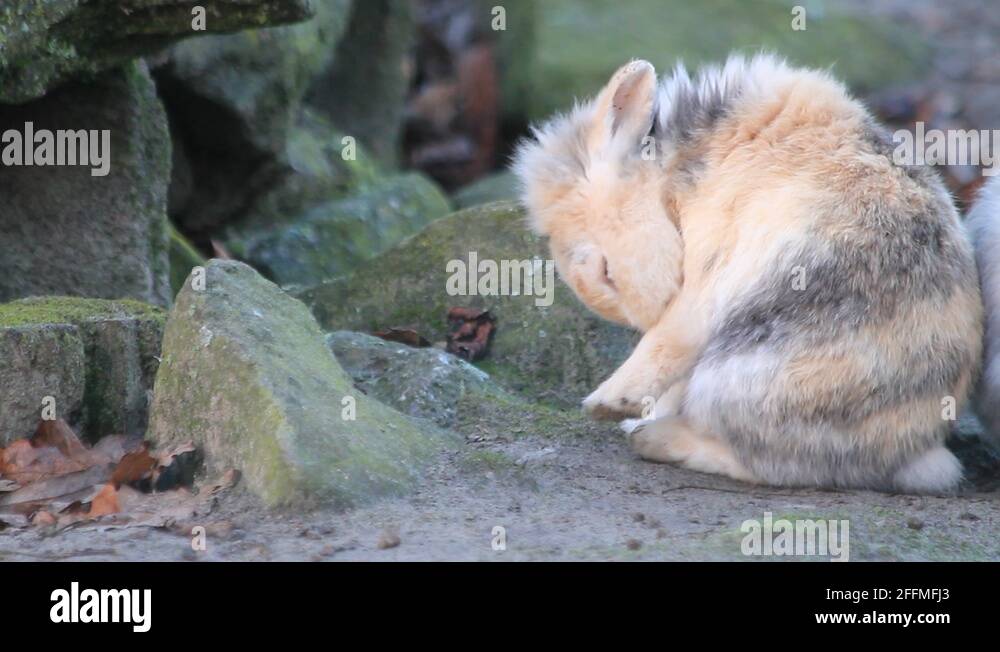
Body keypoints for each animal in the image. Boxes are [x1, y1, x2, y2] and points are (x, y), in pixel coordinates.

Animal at [513, 54, 983, 492]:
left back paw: (651, 438)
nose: (647, 312)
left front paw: (606, 403)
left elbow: (666, 340)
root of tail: (915, 447)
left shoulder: (704, 280)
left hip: (732, 383)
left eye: (605, 270)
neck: (672, 181)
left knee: (771, 464)